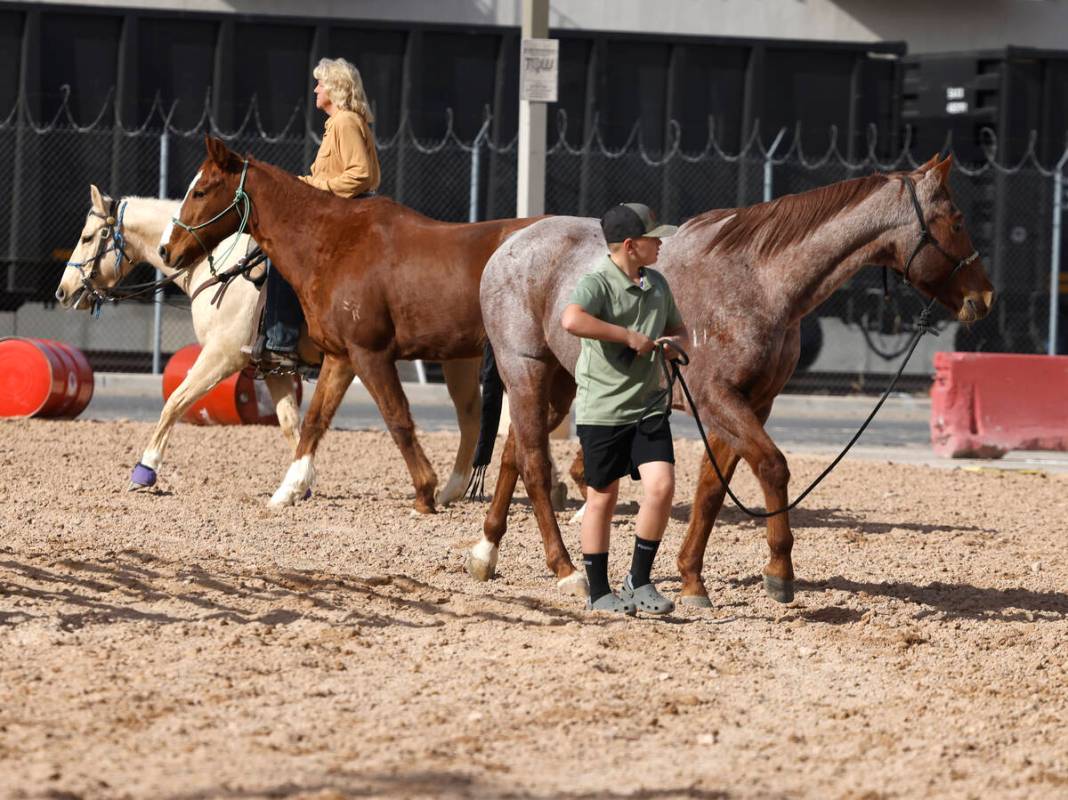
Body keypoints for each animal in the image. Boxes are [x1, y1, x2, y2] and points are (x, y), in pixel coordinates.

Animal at [54, 185, 480, 506]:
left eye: (88, 237)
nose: (63, 291)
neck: (218, 265)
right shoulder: (273, 368)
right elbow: (292, 423)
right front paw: (301, 484)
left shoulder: (220, 357)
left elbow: (175, 402)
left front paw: (146, 469)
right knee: (471, 418)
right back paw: (452, 490)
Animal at [155, 137, 542, 512]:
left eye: (200, 191)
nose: (166, 250)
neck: (335, 243)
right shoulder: (340, 356)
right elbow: (314, 420)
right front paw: (290, 489)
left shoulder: (369, 354)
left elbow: (396, 417)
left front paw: (423, 490)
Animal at [465, 154, 991, 606]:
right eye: (957, 221)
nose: (984, 297)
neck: (760, 281)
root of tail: (510, 245)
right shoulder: (719, 399)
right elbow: (773, 467)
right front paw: (779, 573)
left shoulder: (750, 404)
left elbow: (712, 489)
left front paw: (692, 580)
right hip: (527, 370)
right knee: (534, 464)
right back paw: (566, 569)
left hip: (559, 383)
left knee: (514, 453)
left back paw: (486, 551)